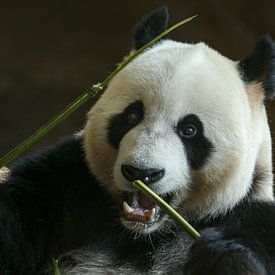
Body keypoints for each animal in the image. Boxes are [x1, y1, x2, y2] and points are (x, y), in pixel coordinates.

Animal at [0, 6, 275, 275]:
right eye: (132, 115)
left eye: (189, 130)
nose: (142, 173)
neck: (141, 235)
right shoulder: (68, 181)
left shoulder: (254, 216)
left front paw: (218, 256)